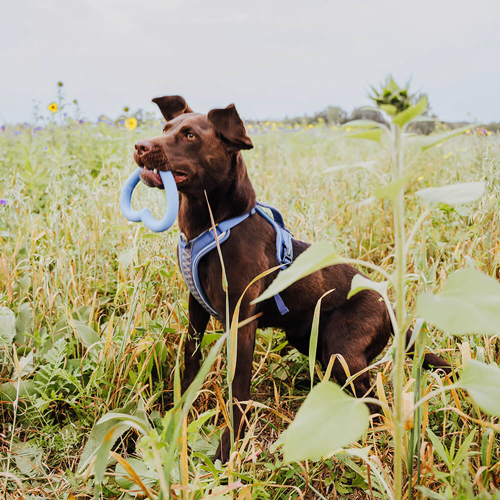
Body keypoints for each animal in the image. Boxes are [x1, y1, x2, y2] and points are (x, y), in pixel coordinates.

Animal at [133, 95, 450, 462]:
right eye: (165, 128)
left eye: (190, 136)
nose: (140, 146)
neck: (213, 226)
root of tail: (389, 304)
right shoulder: (195, 309)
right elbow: (190, 362)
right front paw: (179, 416)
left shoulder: (242, 320)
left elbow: (238, 388)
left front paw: (228, 451)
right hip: (312, 340)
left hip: (343, 349)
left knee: (372, 399)